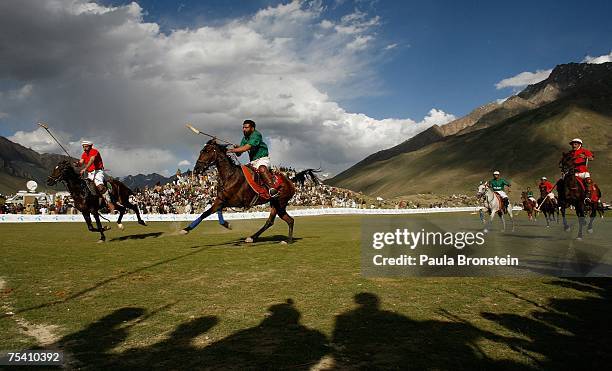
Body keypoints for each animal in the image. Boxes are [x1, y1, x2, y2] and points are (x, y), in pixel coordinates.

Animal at [179, 140, 318, 244]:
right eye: (201, 151)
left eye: (206, 151)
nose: (197, 169)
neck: (230, 175)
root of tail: (291, 181)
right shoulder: (221, 199)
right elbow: (206, 213)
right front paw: (186, 229)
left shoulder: (236, 202)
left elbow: (212, 211)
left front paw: (226, 224)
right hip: (275, 204)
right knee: (276, 221)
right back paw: (253, 237)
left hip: (281, 203)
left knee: (288, 220)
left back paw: (287, 240)